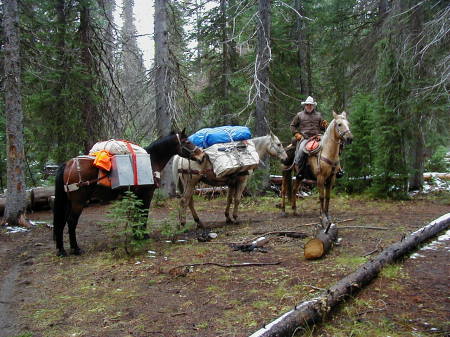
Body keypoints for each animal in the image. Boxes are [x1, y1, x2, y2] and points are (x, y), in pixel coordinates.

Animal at [53, 130, 206, 256]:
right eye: (187, 141)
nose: (202, 155)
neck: (150, 161)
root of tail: (67, 164)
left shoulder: (137, 195)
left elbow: (136, 215)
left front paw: (136, 235)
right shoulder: (147, 194)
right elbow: (143, 215)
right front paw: (143, 235)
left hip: (68, 202)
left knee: (61, 222)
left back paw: (61, 250)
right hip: (78, 202)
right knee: (71, 222)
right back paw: (75, 249)